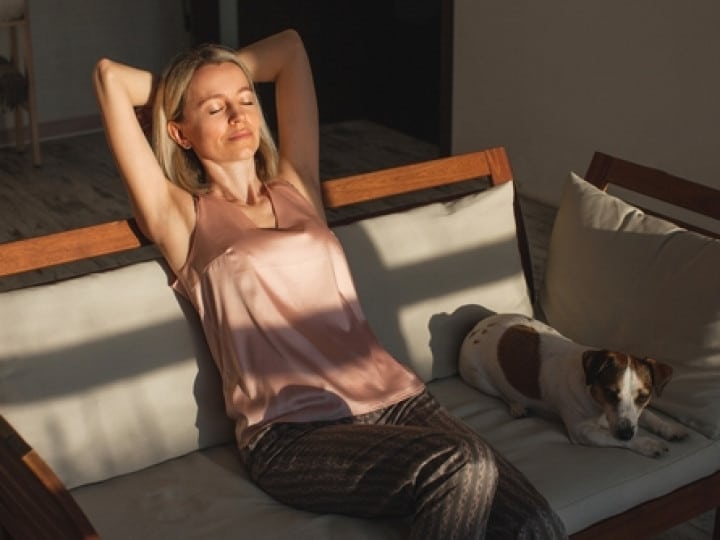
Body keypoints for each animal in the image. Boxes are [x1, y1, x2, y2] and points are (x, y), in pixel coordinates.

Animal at [458, 312, 688, 456]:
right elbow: (616, 438)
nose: (626, 433)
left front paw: (669, 428)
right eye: (610, 393)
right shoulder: (583, 432)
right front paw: (648, 444)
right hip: (479, 378)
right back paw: (517, 406)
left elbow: (649, 416)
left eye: (643, 397)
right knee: (501, 394)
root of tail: (478, 326)